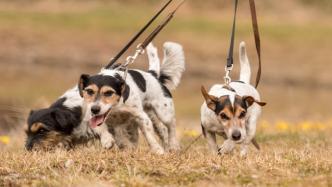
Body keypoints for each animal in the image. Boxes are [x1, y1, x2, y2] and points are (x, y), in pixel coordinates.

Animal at [25, 42, 184, 155]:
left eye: (42, 130)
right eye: (27, 132)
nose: (27, 148)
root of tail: (152, 74)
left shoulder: (138, 116)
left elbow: (149, 136)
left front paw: (157, 150)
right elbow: (102, 129)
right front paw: (108, 140)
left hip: (163, 111)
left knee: (170, 127)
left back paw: (173, 146)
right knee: (158, 131)